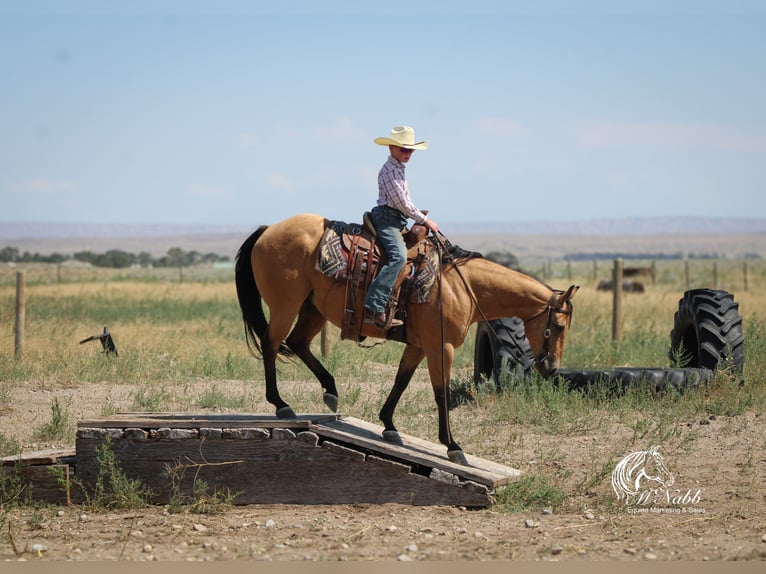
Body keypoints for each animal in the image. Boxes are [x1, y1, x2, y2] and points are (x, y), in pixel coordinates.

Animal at [234, 213, 579, 465]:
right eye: (559, 326)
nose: (551, 368)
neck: (461, 285)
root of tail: (267, 230)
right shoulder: (441, 346)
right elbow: (441, 393)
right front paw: (453, 446)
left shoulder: (418, 345)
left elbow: (401, 381)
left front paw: (388, 425)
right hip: (286, 305)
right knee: (271, 344)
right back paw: (282, 405)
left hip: (312, 309)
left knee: (297, 343)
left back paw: (330, 391)